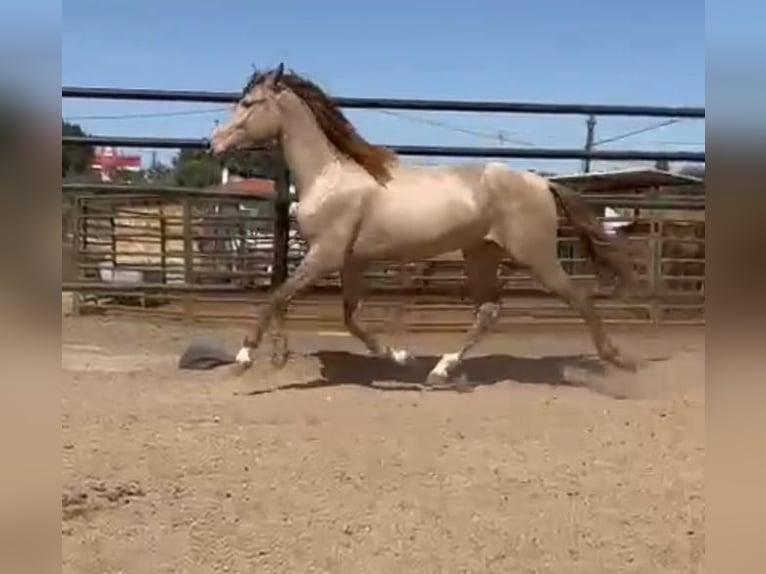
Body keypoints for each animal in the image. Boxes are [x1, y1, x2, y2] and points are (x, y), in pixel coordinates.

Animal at [207, 64, 640, 388]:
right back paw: (440, 370)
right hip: (481, 254)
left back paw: (620, 360)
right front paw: (401, 357)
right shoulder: (350, 261)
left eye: (248, 103)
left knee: (579, 299)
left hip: (536, 256)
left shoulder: (325, 255)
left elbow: (276, 296)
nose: (213, 143)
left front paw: (244, 356)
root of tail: (542, 182)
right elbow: (349, 317)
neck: (329, 177)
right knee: (489, 311)